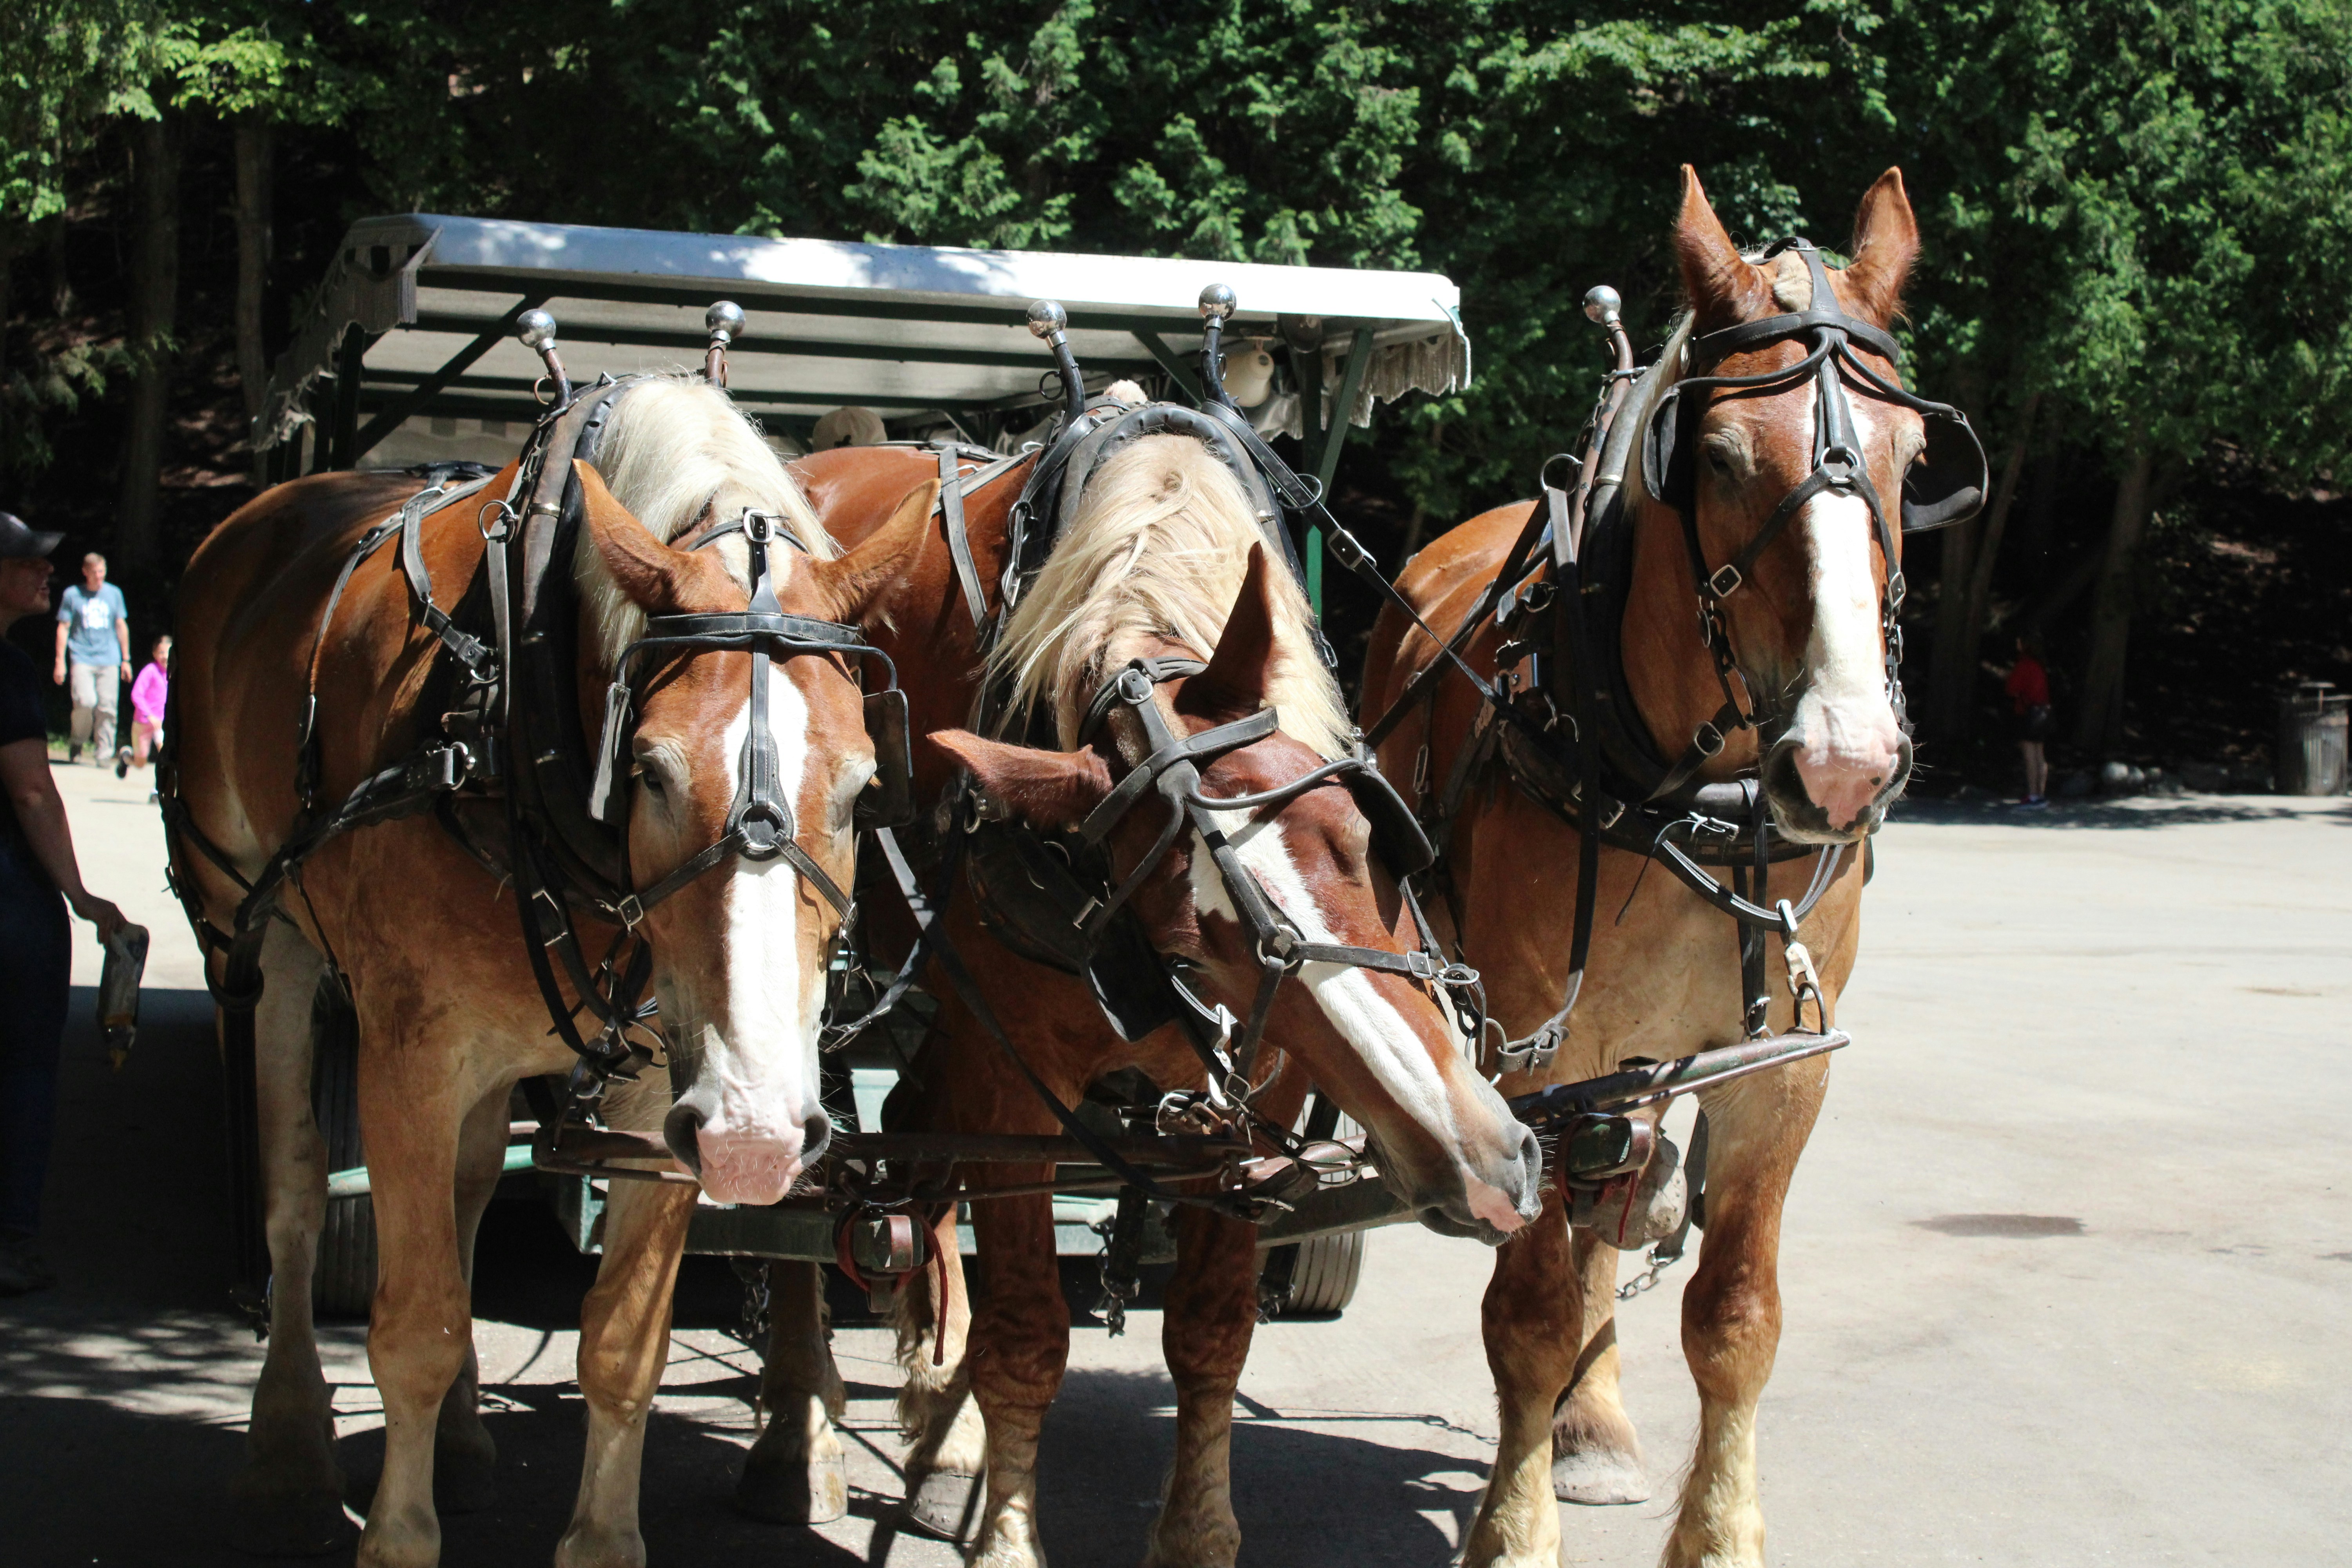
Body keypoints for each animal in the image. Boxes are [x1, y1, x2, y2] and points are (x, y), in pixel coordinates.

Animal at [165, 373, 937, 1568]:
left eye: (862, 787)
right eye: (652, 771)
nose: (761, 1136)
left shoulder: (670, 1086)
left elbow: (621, 1344)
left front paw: (599, 1536)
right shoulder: (409, 1053)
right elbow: (417, 1322)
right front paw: (397, 1537)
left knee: (473, 1184)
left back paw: (462, 1441)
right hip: (262, 941)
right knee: (293, 1190)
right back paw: (287, 1445)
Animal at [751, 422, 1544, 1566]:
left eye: (1357, 836)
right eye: (1189, 945)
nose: (1487, 1161)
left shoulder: (1249, 1105)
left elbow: (1212, 1329)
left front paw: (1196, 1533)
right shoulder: (1014, 1090)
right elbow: (1027, 1335)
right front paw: (1008, 1534)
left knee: (908, 1137)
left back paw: (942, 1436)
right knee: (804, 1186)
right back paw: (800, 1430)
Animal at [1361, 167, 1944, 1567]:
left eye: (1911, 460)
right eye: (1721, 460)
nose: (1844, 762)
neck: (1693, 795)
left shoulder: (1779, 1070)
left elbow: (1735, 1317)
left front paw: (1718, 1530)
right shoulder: (1527, 1056)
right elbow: (1525, 1308)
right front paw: (1512, 1531)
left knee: (1613, 1202)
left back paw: (1597, 1422)